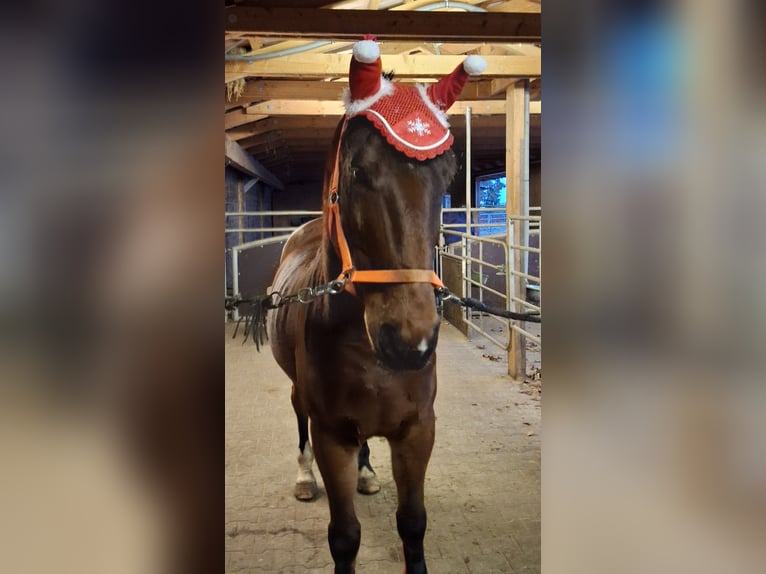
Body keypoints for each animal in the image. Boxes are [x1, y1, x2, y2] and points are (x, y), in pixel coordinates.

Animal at [268, 38, 488, 572]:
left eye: (448, 176)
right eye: (357, 170)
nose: (410, 341)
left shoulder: (417, 431)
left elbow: (413, 524)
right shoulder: (332, 437)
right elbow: (345, 537)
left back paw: (368, 473)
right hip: (301, 400)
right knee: (297, 415)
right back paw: (304, 478)